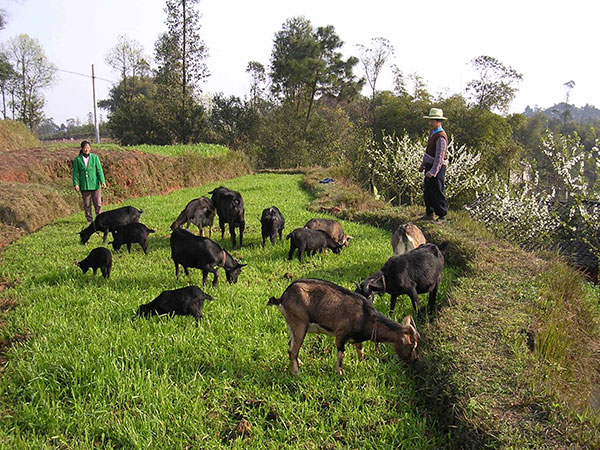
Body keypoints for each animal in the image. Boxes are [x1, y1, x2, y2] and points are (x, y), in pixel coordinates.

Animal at [270, 280, 420, 374]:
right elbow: (341, 354)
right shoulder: (340, 335)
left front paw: (361, 364)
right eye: (412, 346)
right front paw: (340, 372)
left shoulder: (357, 338)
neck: (366, 317)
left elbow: (360, 350)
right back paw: (296, 372)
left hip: (293, 325)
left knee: (290, 345)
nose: (415, 360)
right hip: (299, 323)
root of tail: (283, 297)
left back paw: (300, 363)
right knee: (292, 350)